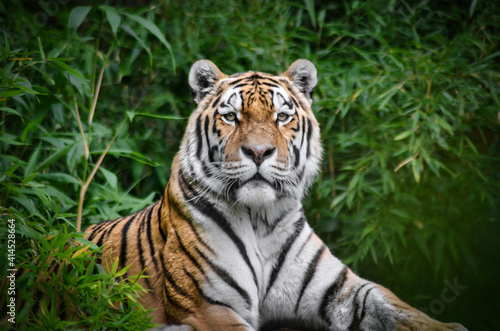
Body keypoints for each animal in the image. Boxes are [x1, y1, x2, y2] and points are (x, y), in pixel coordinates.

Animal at [84, 60, 466, 331]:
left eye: (282, 117)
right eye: (231, 116)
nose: (258, 151)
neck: (259, 218)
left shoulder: (339, 289)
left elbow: (396, 306)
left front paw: (446, 325)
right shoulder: (208, 306)